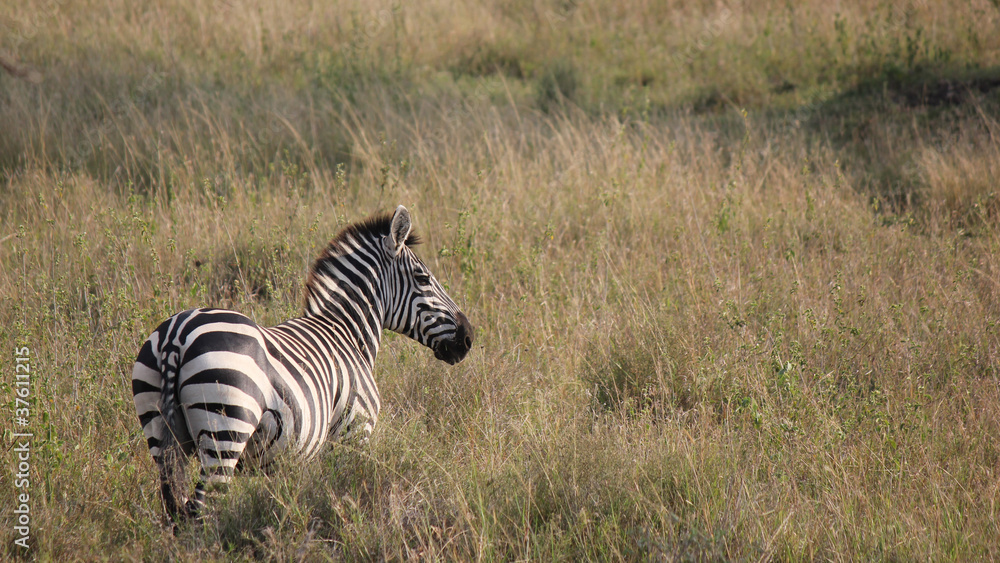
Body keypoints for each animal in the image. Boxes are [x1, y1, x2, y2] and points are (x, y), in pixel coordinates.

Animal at [131, 205, 474, 519]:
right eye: (423, 278)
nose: (468, 337)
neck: (347, 331)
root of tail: (177, 335)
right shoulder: (353, 432)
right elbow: (342, 493)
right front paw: (346, 527)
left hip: (159, 431)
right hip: (225, 430)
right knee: (199, 511)